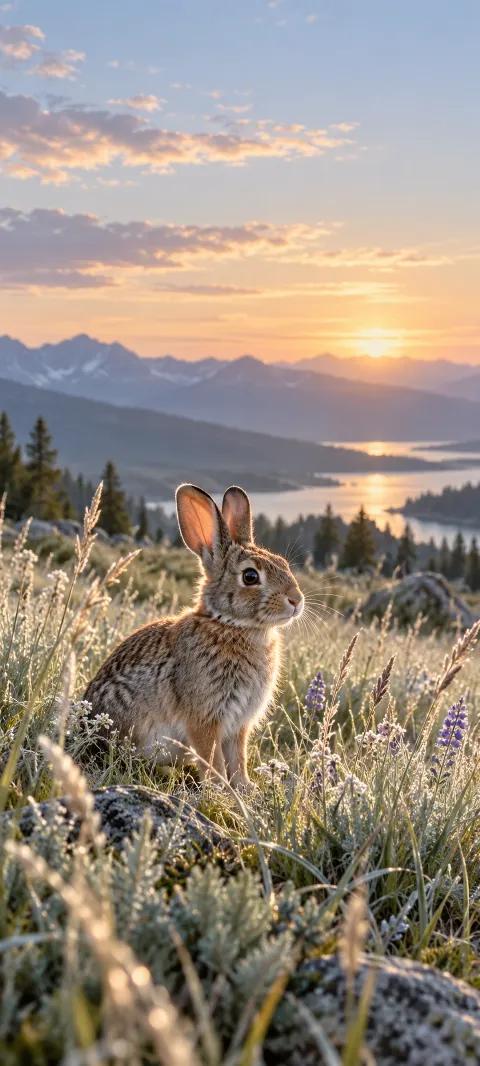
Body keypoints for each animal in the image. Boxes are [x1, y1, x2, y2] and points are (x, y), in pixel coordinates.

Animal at [83, 484, 304, 788]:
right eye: (250, 576)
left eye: (283, 563)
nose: (296, 600)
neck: (230, 624)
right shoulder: (205, 718)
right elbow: (212, 759)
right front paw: (220, 789)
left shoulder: (238, 725)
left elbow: (238, 758)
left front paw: (245, 788)